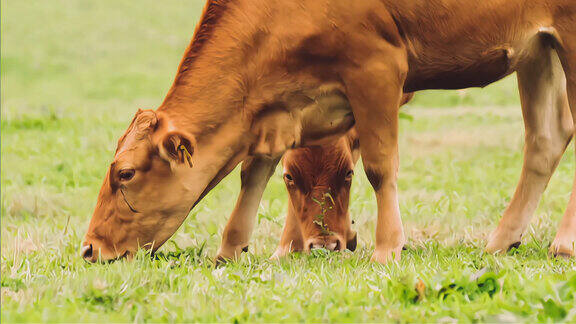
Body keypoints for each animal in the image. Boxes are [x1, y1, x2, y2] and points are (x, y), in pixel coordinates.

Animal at [81, 0, 576, 264]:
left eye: (125, 173)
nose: (88, 249)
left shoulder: (378, 68)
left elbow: (380, 166)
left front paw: (387, 248)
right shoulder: (276, 111)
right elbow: (253, 173)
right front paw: (232, 249)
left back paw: (564, 243)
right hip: (536, 51)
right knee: (547, 138)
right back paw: (500, 241)